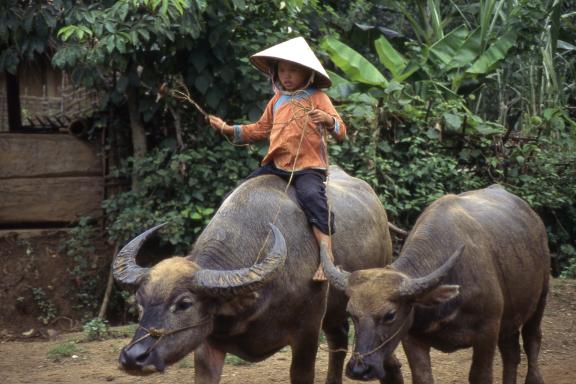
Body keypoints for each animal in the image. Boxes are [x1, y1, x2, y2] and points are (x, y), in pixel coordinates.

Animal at [111, 166, 400, 384]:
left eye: (184, 304)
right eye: (141, 303)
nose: (133, 357)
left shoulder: (307, 333)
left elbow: (301, 373)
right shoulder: (207, 341)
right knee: (338, 339)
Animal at [322, 184, 552, 382]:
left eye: (390, 315)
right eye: (351, 313)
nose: (360, 369)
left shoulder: (488, 331)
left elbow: (480, 376)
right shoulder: (412, 338)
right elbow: (422, 377)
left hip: (540, 297)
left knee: (532, 339)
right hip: (511, 316)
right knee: (511, 352)